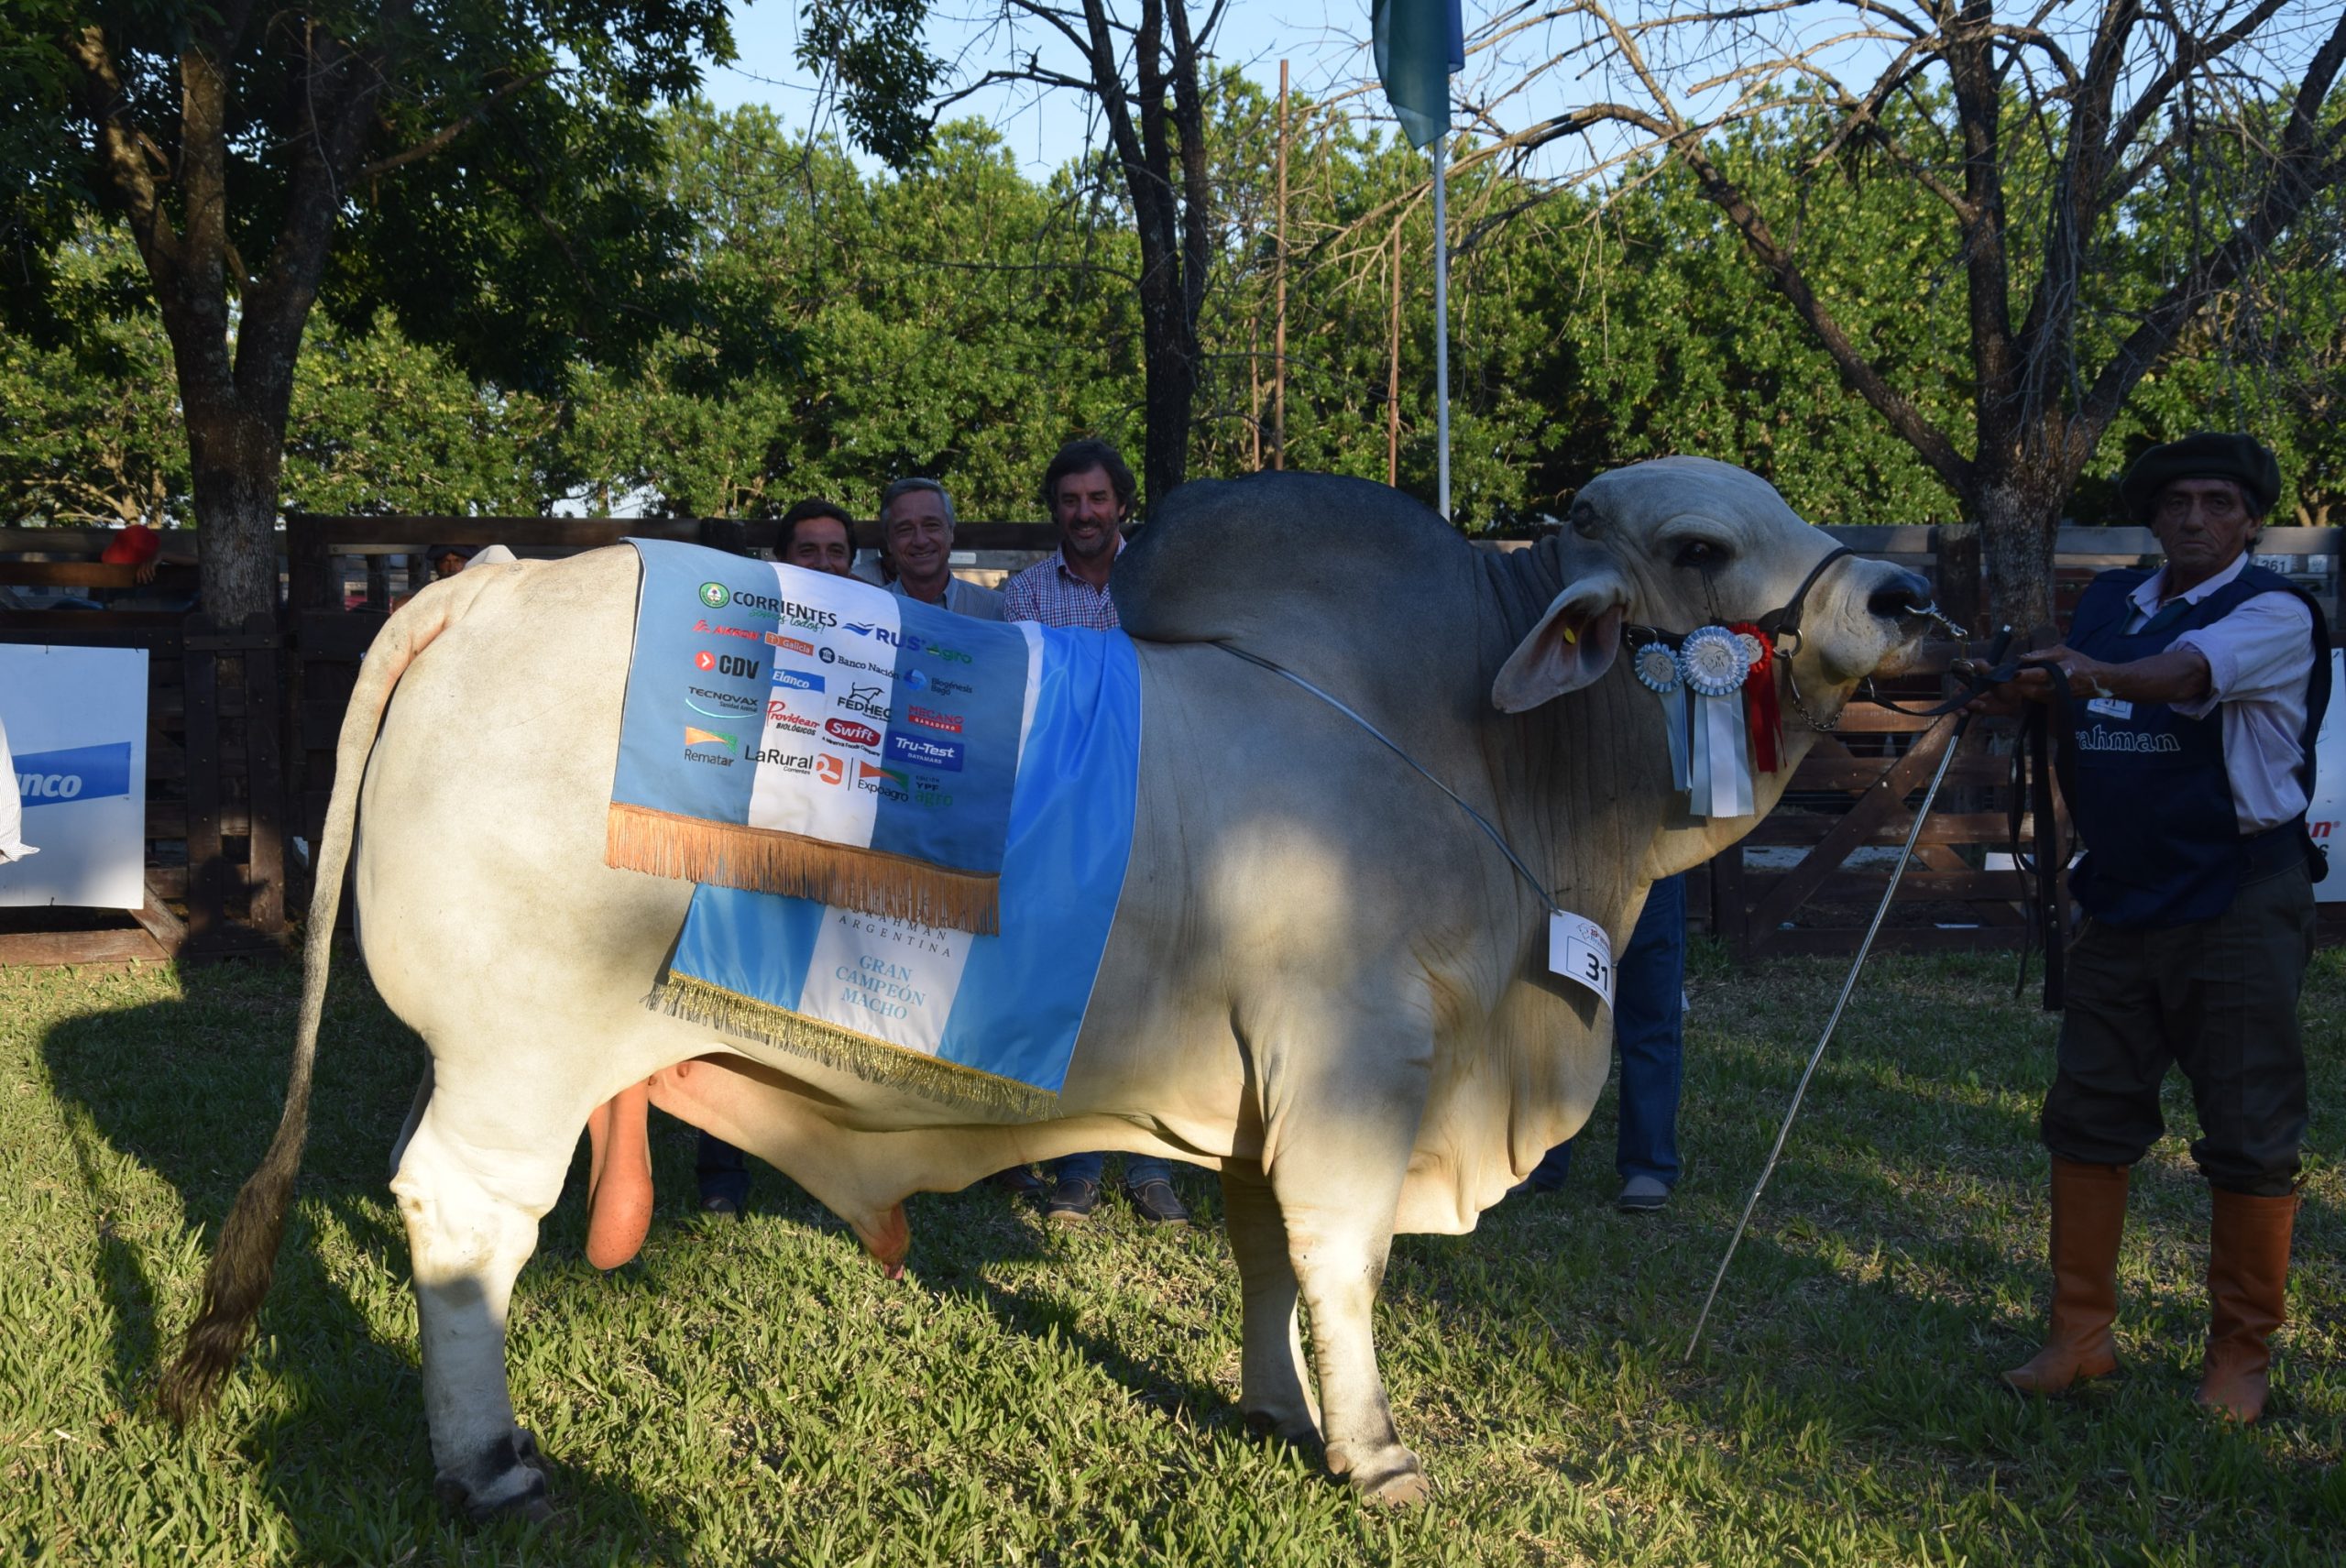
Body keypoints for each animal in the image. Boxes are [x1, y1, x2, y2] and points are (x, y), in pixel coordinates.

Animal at [160, 460, 1924, 1511]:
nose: (1906, 597)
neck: (1472, 749)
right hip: (521, 1051)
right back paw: (489, 1460)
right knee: (464, 1220)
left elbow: (1263, 1258)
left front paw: (1278, 1408)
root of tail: (493, 577)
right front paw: (1373, 1451)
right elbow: (1341, 1264)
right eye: (1700, 546)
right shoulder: (1353, 1072)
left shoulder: (1263, 1101)